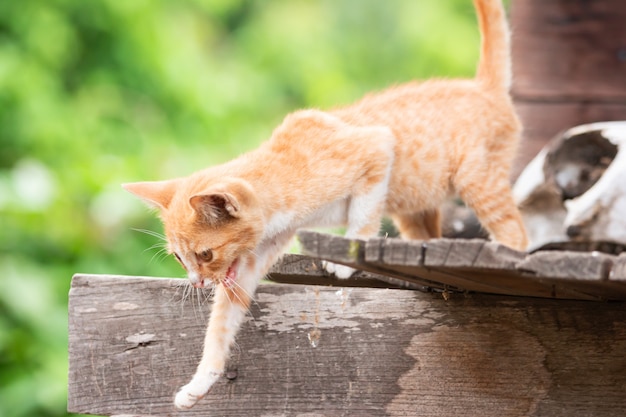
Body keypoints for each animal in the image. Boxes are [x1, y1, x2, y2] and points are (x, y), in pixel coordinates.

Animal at [123, 0, 528, 408]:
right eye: (180, 258)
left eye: (204, 255)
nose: (196, 282)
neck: (280, 176)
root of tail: (481, 87)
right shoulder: (253, 261)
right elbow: (221, 322)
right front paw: (200, 382)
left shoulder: (376, 147)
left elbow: (364, 214)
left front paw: (348, 261)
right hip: (415, 210)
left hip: (478, 181)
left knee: (517, 234)